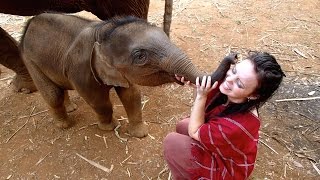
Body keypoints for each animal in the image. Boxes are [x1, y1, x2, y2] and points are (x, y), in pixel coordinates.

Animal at [20, 13, 204, 137]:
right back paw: (64, 125)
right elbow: (99, 100)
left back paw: (71, 108)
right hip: (30, 61)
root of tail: (29, 24)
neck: (103, 30)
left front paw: (140, 134)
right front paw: (110, 128)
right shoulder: (81, 69)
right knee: (53, 94)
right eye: (140, 56)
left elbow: (132, 95)